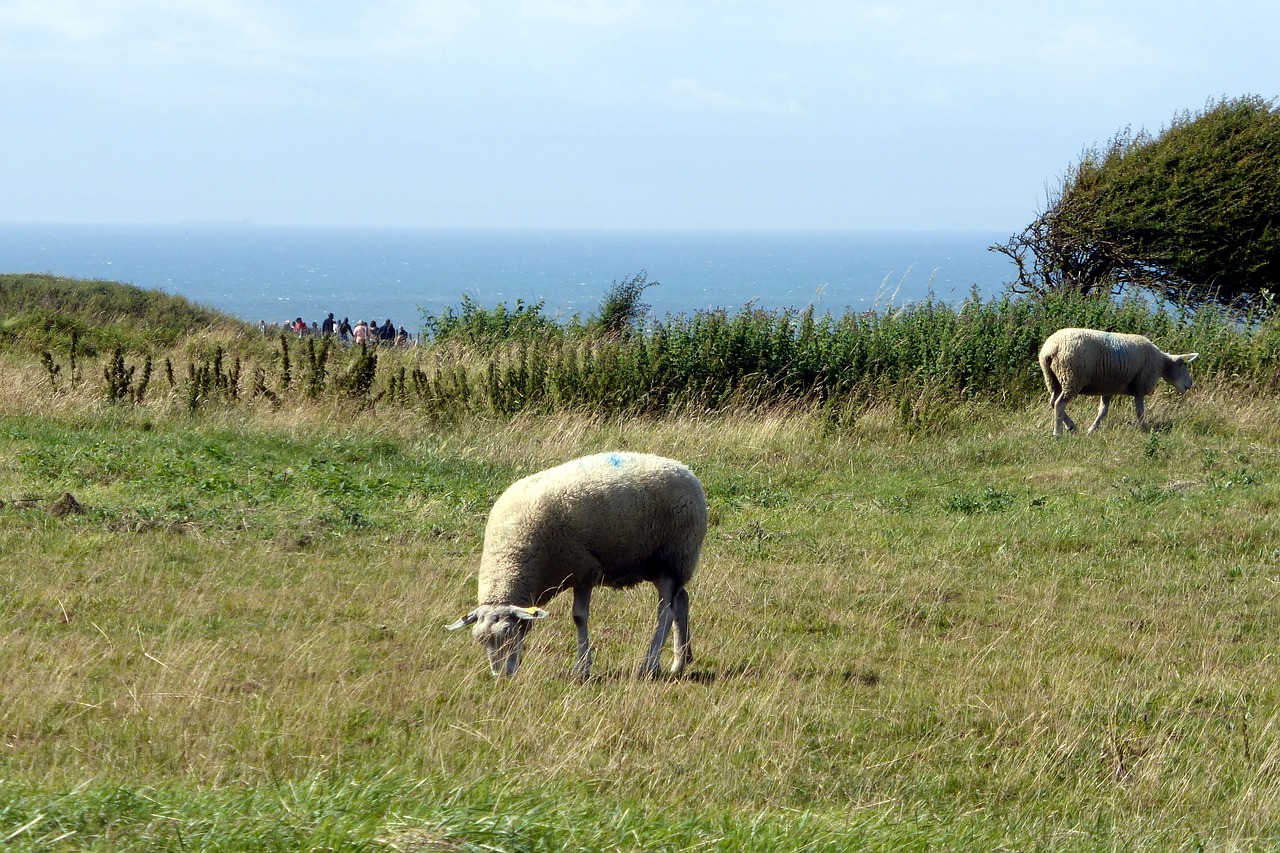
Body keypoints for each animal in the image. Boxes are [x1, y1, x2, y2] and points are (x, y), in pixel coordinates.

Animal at [448, 450, 711, 676]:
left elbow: (579, 617)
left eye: (509, 632)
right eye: (481, 640)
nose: (501, 675)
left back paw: (651, 664)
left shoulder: (584, 570)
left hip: (674, 557)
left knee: (665, 613)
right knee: (681, 601)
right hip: (659, 564)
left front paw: (582, 668)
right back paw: (680, 662)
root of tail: (685, 470)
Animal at [1039, 324, 1198, 435]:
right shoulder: (1140, 386)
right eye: (1184, 365)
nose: (1190, 384)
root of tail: (1052, 348)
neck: (1161, 364)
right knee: (1059, 404)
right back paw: (1058, 432)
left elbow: (1103, 410)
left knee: (1053, 402)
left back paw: (1071, 426)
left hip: (1054, 379)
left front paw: (1093, 428)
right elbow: (1140, 410)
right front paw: (1144, 428)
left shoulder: (1107, 387)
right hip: (1072, 377)